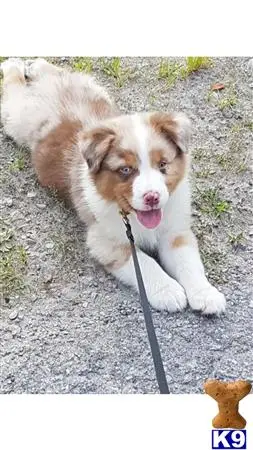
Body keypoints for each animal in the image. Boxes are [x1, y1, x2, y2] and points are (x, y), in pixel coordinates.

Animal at [0, 58, 225, 314]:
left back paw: (36, 64)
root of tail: (50, 84)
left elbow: (189, 263)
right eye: (125, 170)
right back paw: (13, 66)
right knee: (12, 90)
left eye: (163, 164)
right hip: (17, 116)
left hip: (94, 89)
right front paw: (167, 291)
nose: (152, 197)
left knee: (49, 69)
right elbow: (145, 264)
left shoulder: (175, 231)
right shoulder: (106, 241)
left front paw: (206, 294)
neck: (134, 217)